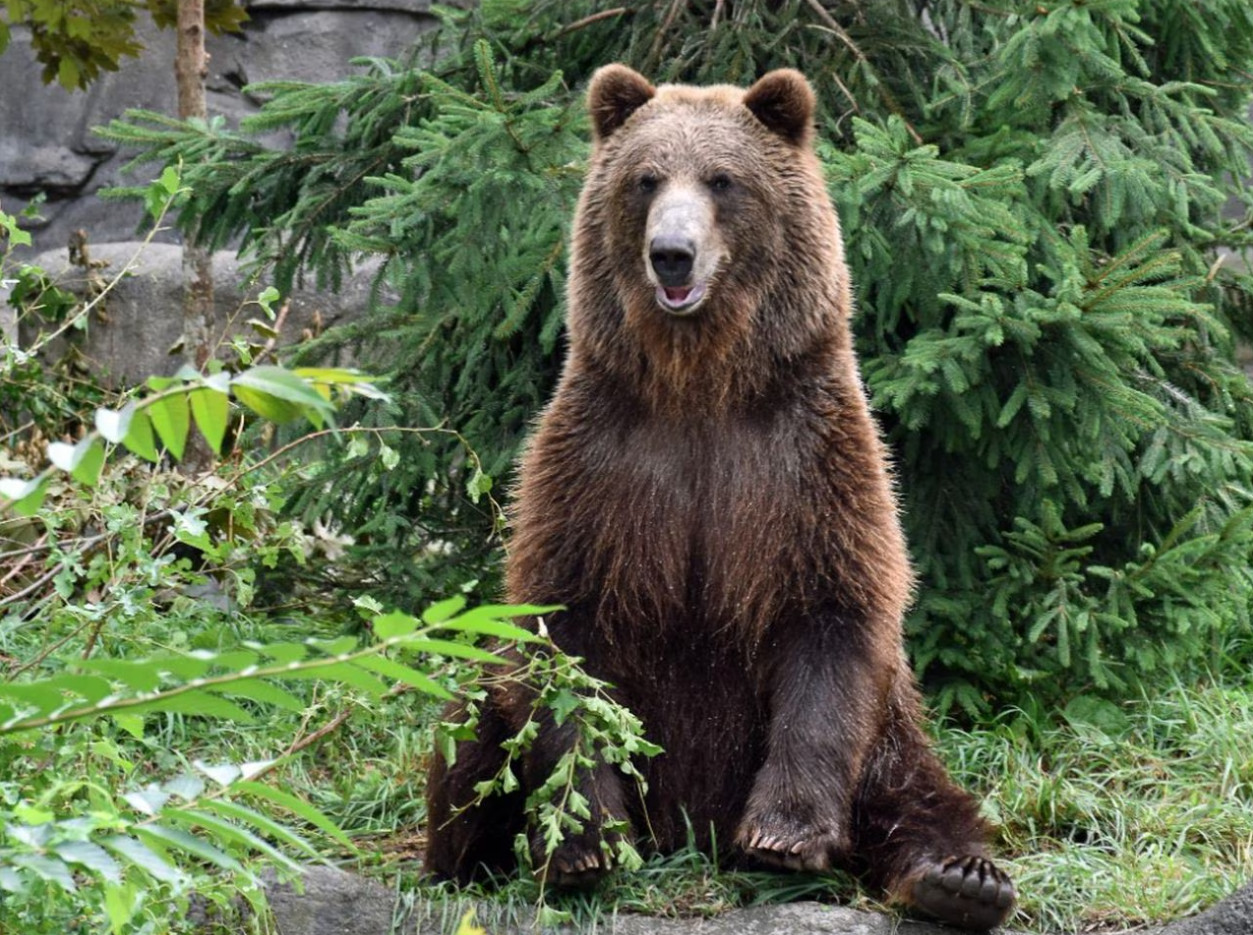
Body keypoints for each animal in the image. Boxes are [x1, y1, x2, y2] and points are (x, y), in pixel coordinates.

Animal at [426, 63, 1012, 927]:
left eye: (722, 179)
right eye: (644, 178)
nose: (671, 254)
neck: (700, 382)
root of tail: (685, 835)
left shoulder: (806, 460)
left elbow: (830, 613)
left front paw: (782, 834)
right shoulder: (599, 461)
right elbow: (564, 628)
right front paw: (582, 842)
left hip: (890, 727)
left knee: (916, 785)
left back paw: (960, 877)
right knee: (471, 717)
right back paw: (471, 859)